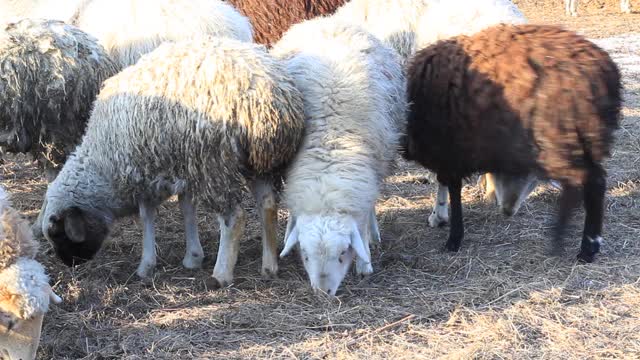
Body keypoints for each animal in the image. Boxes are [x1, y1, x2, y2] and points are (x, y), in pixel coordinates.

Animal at [38, 37, 304, 284]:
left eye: (57, 233)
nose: (70, 264)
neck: (102, 164)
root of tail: (269, 99)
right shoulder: (182, 168)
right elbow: (187, 208)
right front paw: (193, 257)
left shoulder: (143, 173)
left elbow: (147, 217)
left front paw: (146, 265)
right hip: (259, 164)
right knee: (267, 204)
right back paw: (269, 266)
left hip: (214, 163)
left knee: (234, 217)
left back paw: (221, 274)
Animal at [272, 16, 408, 296]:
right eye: (305, 254)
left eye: (343, 253)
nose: (324, 293)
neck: (330, 145)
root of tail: (329, 20)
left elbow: (363, 220)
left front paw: (365, 263)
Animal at [404, 24, 620, 262]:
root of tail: (603, 73)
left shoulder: (450, 152)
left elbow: (453, 190)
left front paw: (453, 238)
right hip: (580, 140)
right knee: (594, 180)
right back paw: (585, 242)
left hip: (557, 140)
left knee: (587, 182)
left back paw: (576, 244)